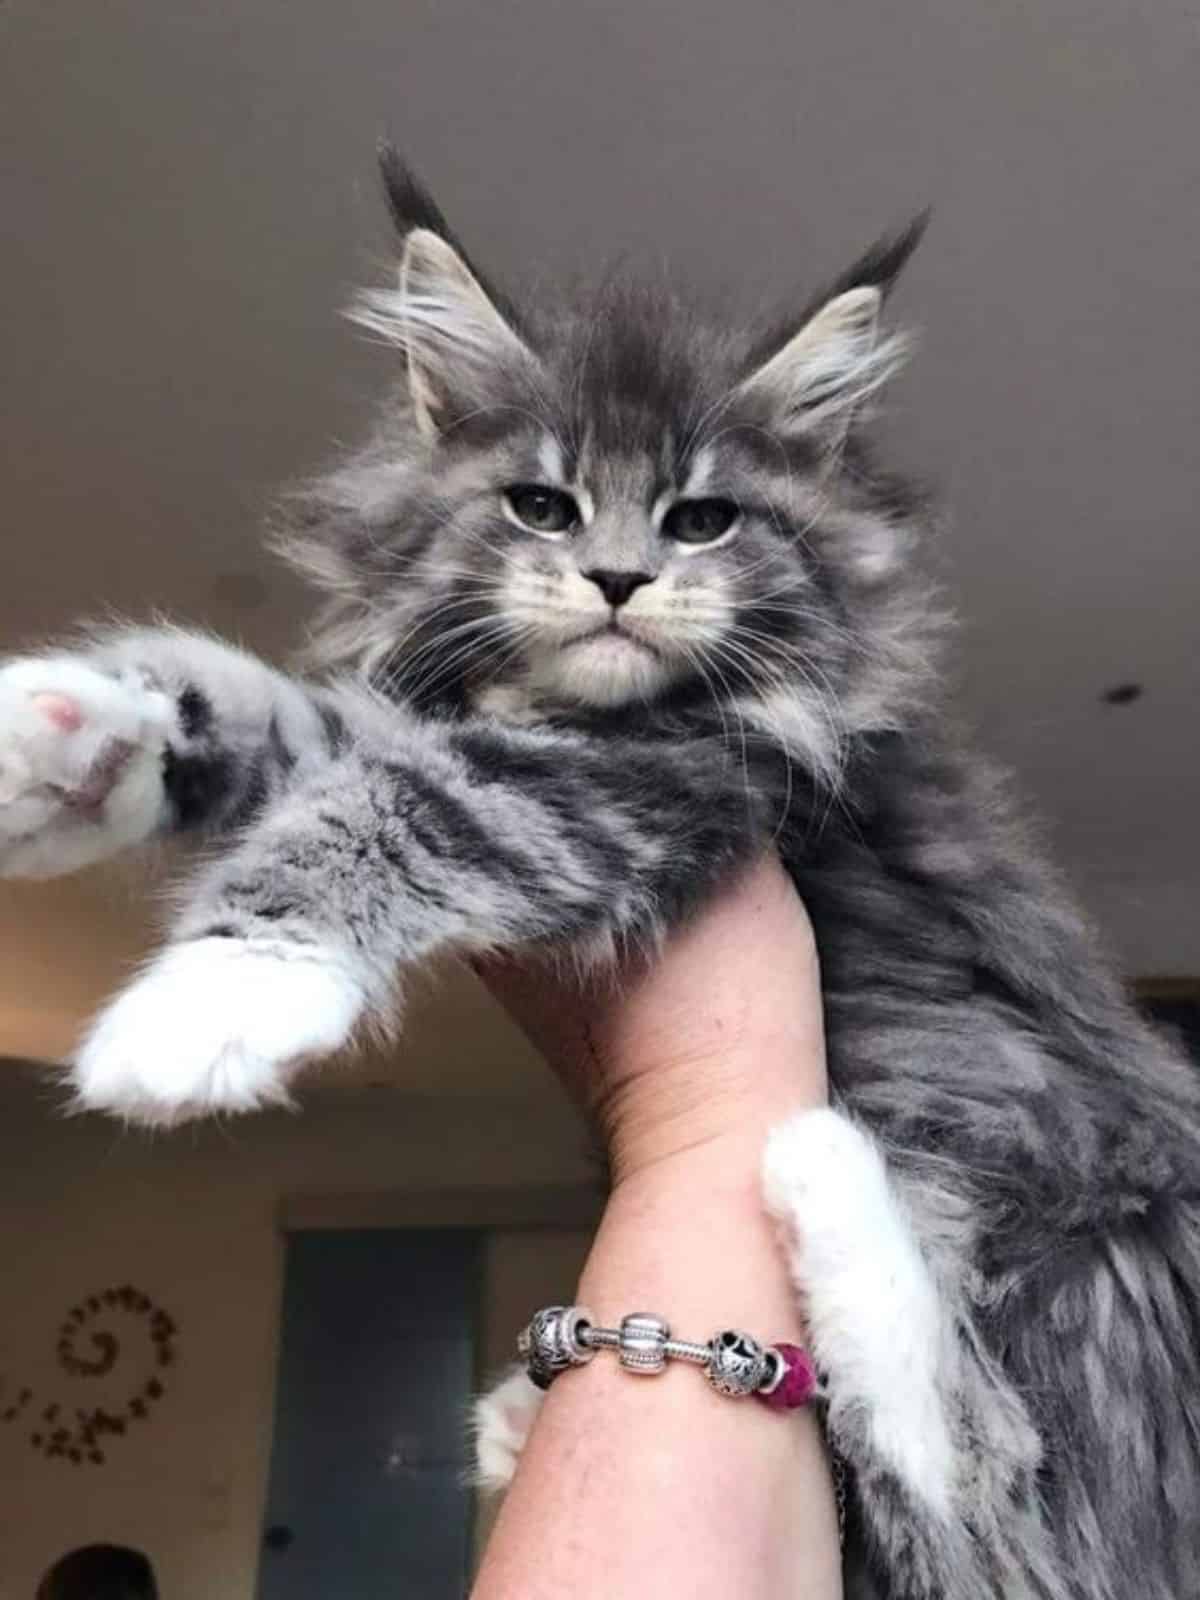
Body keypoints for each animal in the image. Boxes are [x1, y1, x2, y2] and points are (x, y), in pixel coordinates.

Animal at [2, 152, 1200, 1600]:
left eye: (703, 521)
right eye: (542, 505)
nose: (620, 576)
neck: (576, 707)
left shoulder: (658, 779)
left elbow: (397, 811)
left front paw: (219, 994)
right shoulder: (419, 717)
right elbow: (256, 710)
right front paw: (61, 737)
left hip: (1070, 1255)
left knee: (992, 1496)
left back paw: (824, 1173)